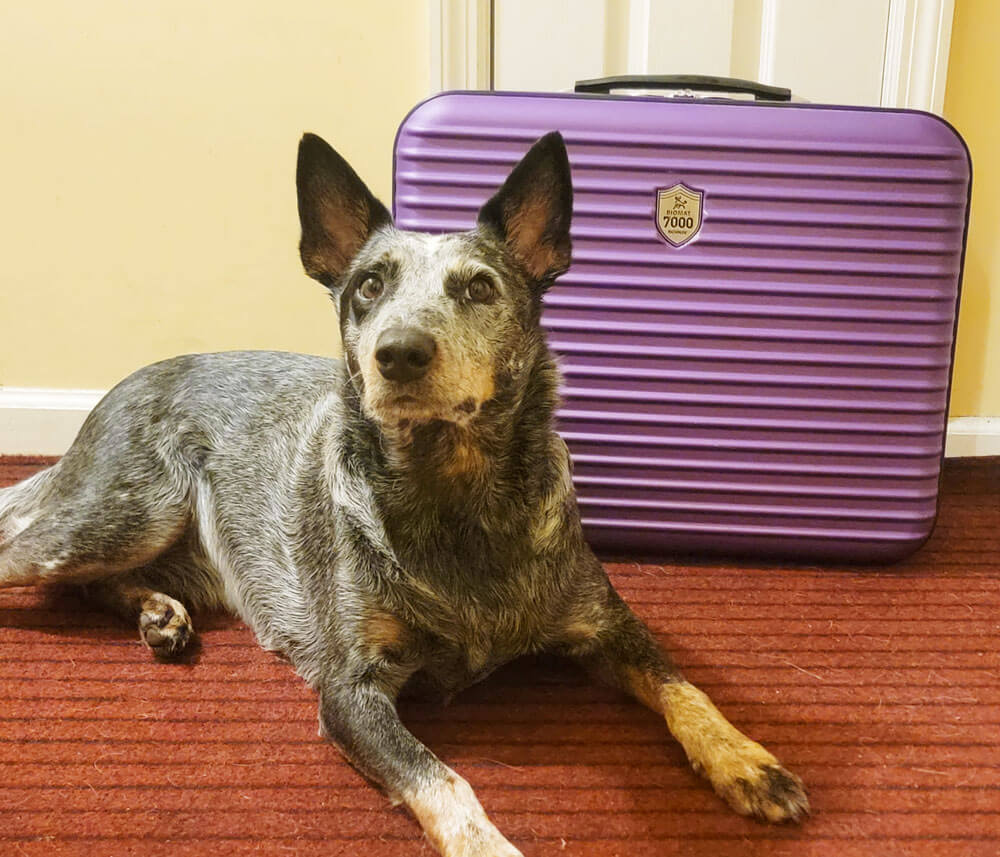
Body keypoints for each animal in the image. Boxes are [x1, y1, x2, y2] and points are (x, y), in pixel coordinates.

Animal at [0, 130, 808, 852]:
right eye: (368, 285)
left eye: (479, 286)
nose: (400, 352)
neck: (458, 500)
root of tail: (118, 389)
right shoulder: (350, 692)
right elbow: (443, 780)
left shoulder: (607, 622)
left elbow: (683, 686)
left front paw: (746, 759)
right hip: (124, 511)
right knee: (26, 554)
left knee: (92, 583)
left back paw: (160, 613)